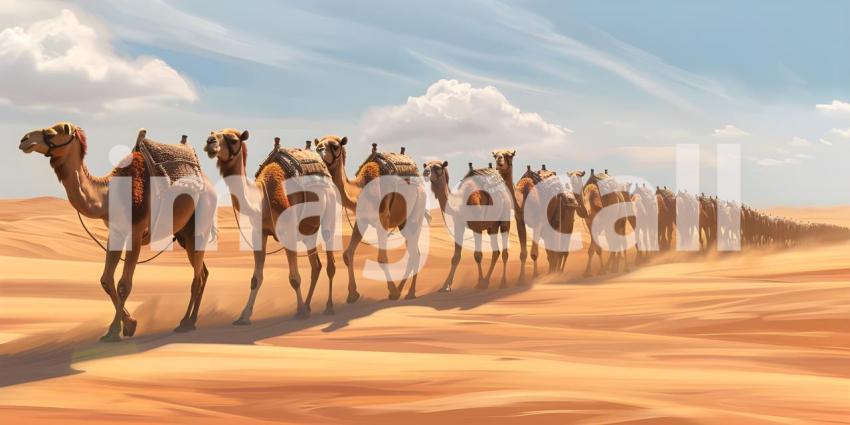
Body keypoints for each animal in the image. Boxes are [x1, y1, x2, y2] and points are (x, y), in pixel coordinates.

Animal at [18, 122, 217, 341]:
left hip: (201, 223)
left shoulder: (135, 232)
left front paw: (114, 331)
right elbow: (106, 279)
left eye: (52, 132)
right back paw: (192, 320)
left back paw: (185, 323)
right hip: (184, 234)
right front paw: (130, 324)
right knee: (203, 273)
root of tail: (209, 184)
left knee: (197, 278)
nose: (24, 140)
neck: (108, 196)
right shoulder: (115, 233)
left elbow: (124, 285)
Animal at [205, 130, 337, 322]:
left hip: (329, 217)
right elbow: (255, 279)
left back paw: (328, 307)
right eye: (213, 133)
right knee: (316, 266)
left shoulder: (288, 231)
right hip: (308, 231)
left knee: (330, 263)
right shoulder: (259, 233)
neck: (262, 198)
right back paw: (308, 305)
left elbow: (294, 278)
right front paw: (244, 316)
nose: (210, 142)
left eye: (233, 140)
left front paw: (300, 312)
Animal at [314, 136, 426, 302]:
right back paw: (402, 289)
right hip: (403, 223)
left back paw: (409, 292)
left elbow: (382, 258)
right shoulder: (361, 220)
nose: (320, 149)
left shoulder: (383, 218)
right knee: (413, 253)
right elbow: (347, 254)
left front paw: (392, 291)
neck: (360, 191)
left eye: (335, 146)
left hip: (416, 216)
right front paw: (352, 294)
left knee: (415, 254)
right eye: (318, 145)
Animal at [424, 160, 512, 291]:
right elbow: (455, 257)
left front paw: (479, 282)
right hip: (492, 226)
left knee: (504, 251)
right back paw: (487, 281)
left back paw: (503, 282)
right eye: (425, 165)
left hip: (505, 217)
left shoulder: (477, 226)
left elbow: (478, 255)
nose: (425, 172)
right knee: (496, 252)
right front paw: (445, 286)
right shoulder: (458, 226)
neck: (459, 203)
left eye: (438, 167)